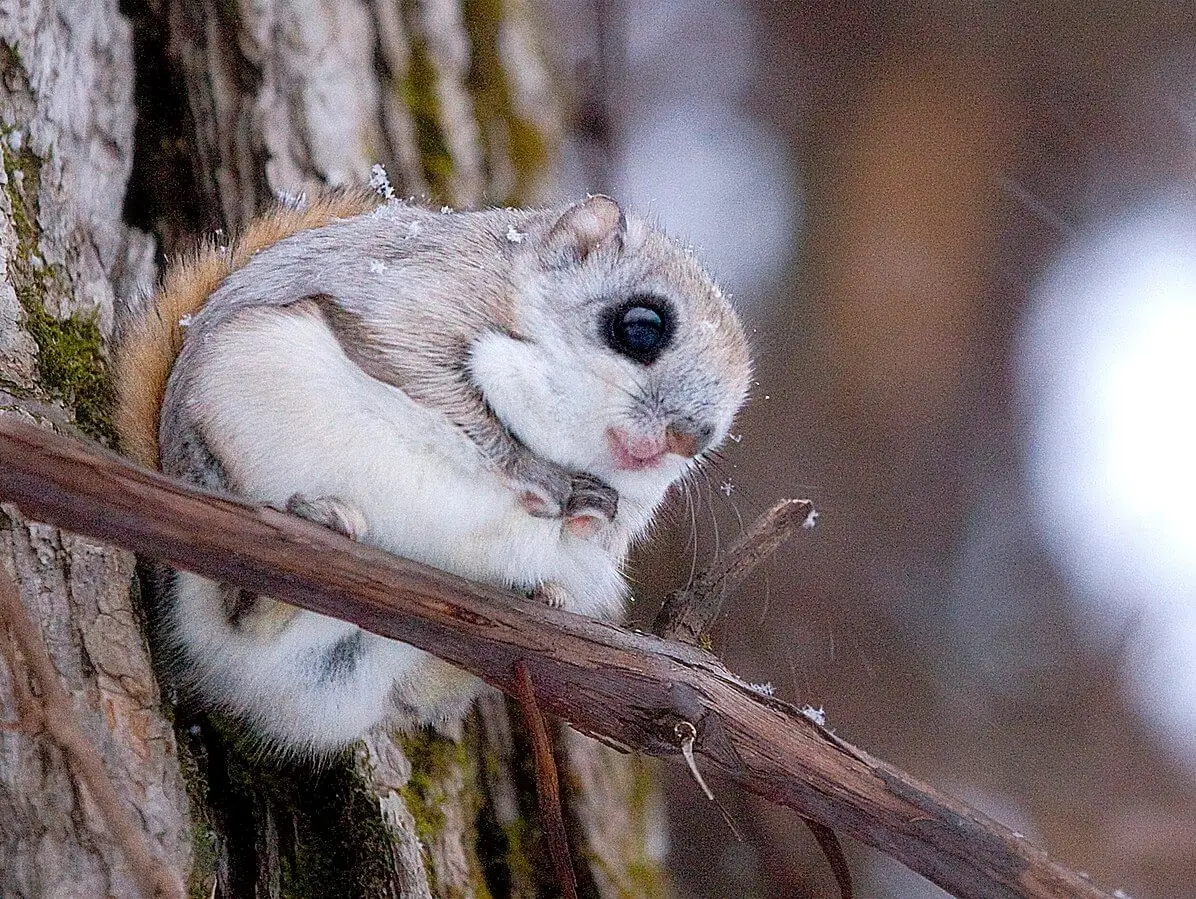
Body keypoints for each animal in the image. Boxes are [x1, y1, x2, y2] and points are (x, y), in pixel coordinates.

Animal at [114, 186, 751, 755]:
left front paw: (589, 520)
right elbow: (443, 394)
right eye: (641, 326)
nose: (691, 438)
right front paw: (541, 477)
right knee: (233, 609)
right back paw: (313, 524)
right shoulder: (417, 308)